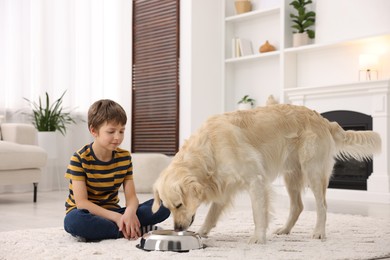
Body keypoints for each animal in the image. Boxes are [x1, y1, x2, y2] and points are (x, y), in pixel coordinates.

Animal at [152, 100, 380, 244]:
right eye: (168, 207)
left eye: (179, 205)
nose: (178, 229)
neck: (209, 149)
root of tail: (323, 119)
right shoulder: (224, 184)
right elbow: (212, 213)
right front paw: (202, 231)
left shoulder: (255, 180)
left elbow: (257, 213)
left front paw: (258, 238)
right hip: (292, 174)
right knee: (297, 206)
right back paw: (285, 230)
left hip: (313, 170)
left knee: (322, 206)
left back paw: (318, 232)